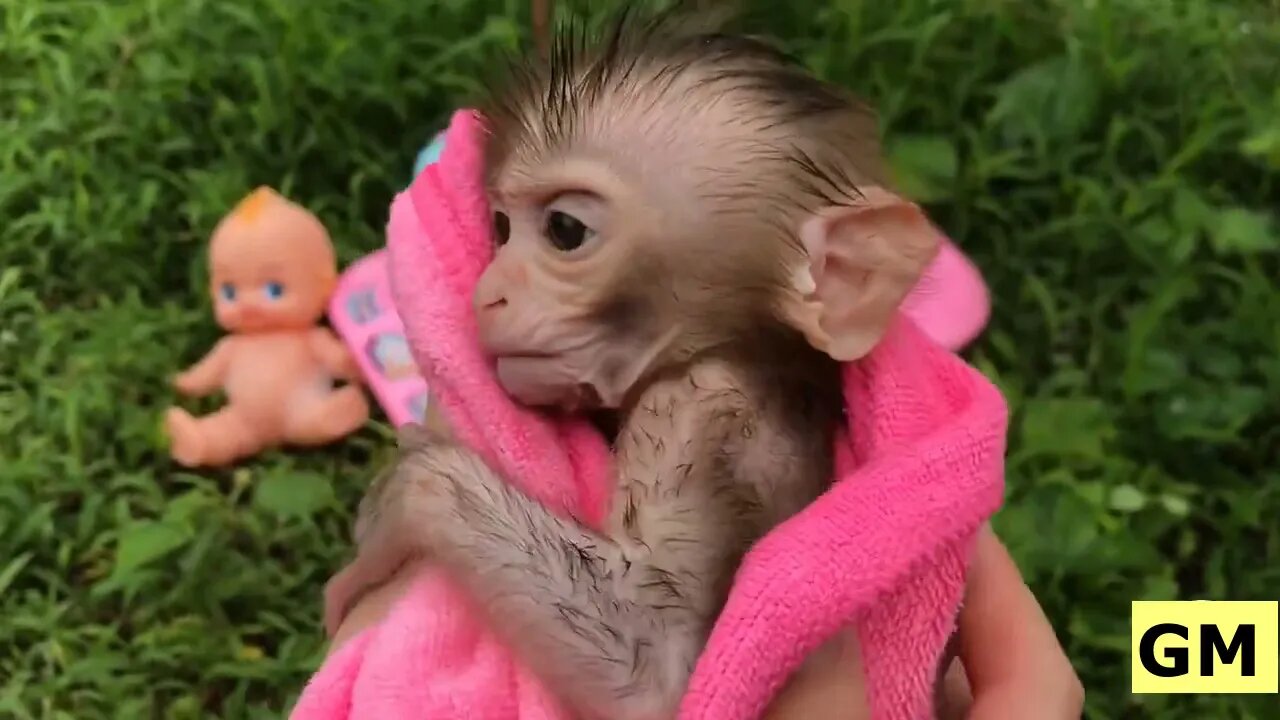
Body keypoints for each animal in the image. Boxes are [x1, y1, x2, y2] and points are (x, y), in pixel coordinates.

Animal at [325, 5, 947, 717]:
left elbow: (659, 663)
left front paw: (402, 495)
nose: (488, 292)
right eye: (501, 229)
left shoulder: (701, 408)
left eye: (565, 230)